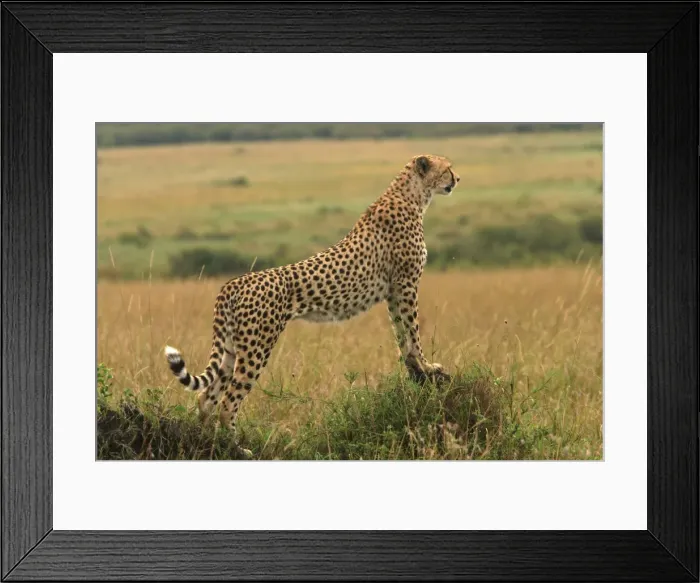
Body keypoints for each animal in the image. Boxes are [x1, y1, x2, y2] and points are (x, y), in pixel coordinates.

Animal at [165, 154, 460, 456]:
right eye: (447, 168)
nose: (457, 179)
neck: (412, 195)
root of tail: (233, 282)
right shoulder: (406, 284)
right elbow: (413, 331)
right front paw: (427, 366)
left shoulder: (393, 291)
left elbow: (402, 333)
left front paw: (415, 368)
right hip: (256, 348)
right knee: (227, 403)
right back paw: (238, 450)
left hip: (231, 350)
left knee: (205, 399)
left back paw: (207, 445)